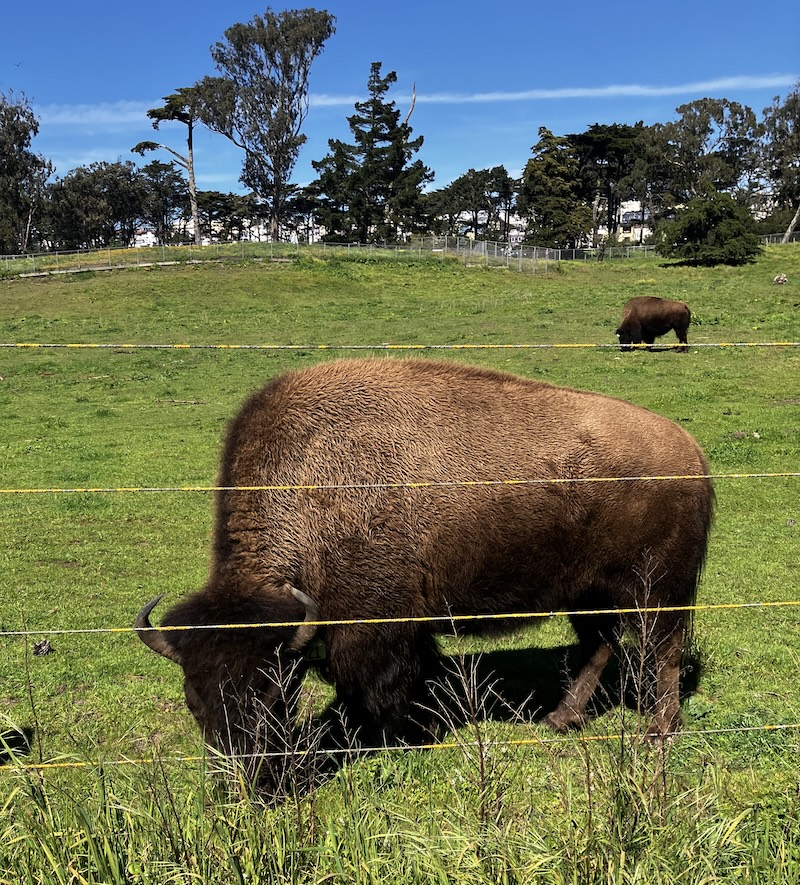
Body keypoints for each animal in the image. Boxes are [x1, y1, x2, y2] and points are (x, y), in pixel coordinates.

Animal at [137, 358, 713, 780]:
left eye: (272, 694)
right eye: (193, 699)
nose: (244, 776)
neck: (312, 489)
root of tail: (691, 451)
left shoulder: (372, 628)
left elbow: (373, 688)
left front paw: (382, 740)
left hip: (658, 589)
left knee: (664, 651)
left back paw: (658, 731)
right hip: (587, 594)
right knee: (600, 647)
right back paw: (559, 719)